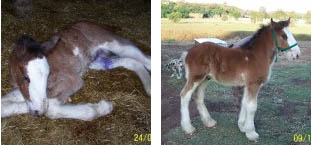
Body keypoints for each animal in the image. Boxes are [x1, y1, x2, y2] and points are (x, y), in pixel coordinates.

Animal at [1, 21, 151, 121]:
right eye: (26, 78)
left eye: (47, 74)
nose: (38, 111)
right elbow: (7, 104)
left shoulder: (73, 81)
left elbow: (52, 108)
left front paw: (103, 107)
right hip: (97, 61)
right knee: (130, 61)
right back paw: (148, 86)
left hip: (115, 43)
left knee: (146, 59)